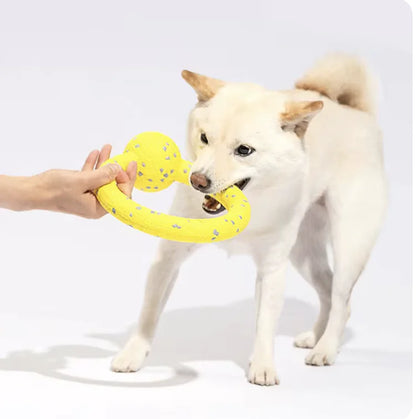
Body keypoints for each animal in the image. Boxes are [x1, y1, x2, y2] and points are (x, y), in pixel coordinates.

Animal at [109, 55, 386, 388]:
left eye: (244, 150)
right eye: (204, 138)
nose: (197, 180)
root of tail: (354, 111)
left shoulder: (272, 269)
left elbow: (265, 324)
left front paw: (263, 366)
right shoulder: (168, 257)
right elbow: (149, 313)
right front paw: (133, 354)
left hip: (348, 245)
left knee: (342, 298)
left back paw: (326, 348)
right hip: (304, 255)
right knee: (328, 292)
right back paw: (314, 337)